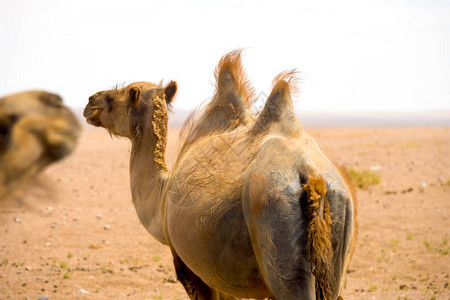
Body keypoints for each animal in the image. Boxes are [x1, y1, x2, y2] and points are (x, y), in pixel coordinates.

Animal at [82, 51, 356, 300]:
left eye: (116, 95)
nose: (89, 101)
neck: (161, 197)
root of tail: (312, 177)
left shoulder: (191, 268)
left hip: (277, 230)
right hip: (336, 241)